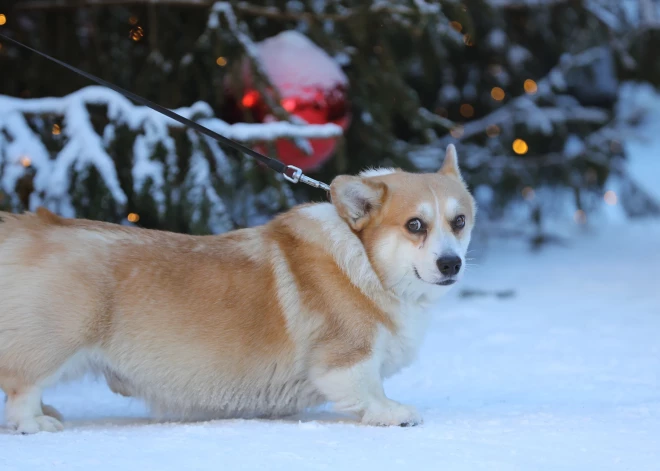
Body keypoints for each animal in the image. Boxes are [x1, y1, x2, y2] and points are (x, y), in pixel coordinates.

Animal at [0, 146, 474, 434]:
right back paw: (37, 422)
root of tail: (27, 226)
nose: (451, 264)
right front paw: (393, 413)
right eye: (415, 225)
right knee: (23, 386)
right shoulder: (345, 359)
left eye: (459, 221)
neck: (366, 262)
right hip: (55, 340)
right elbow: (368, 389)